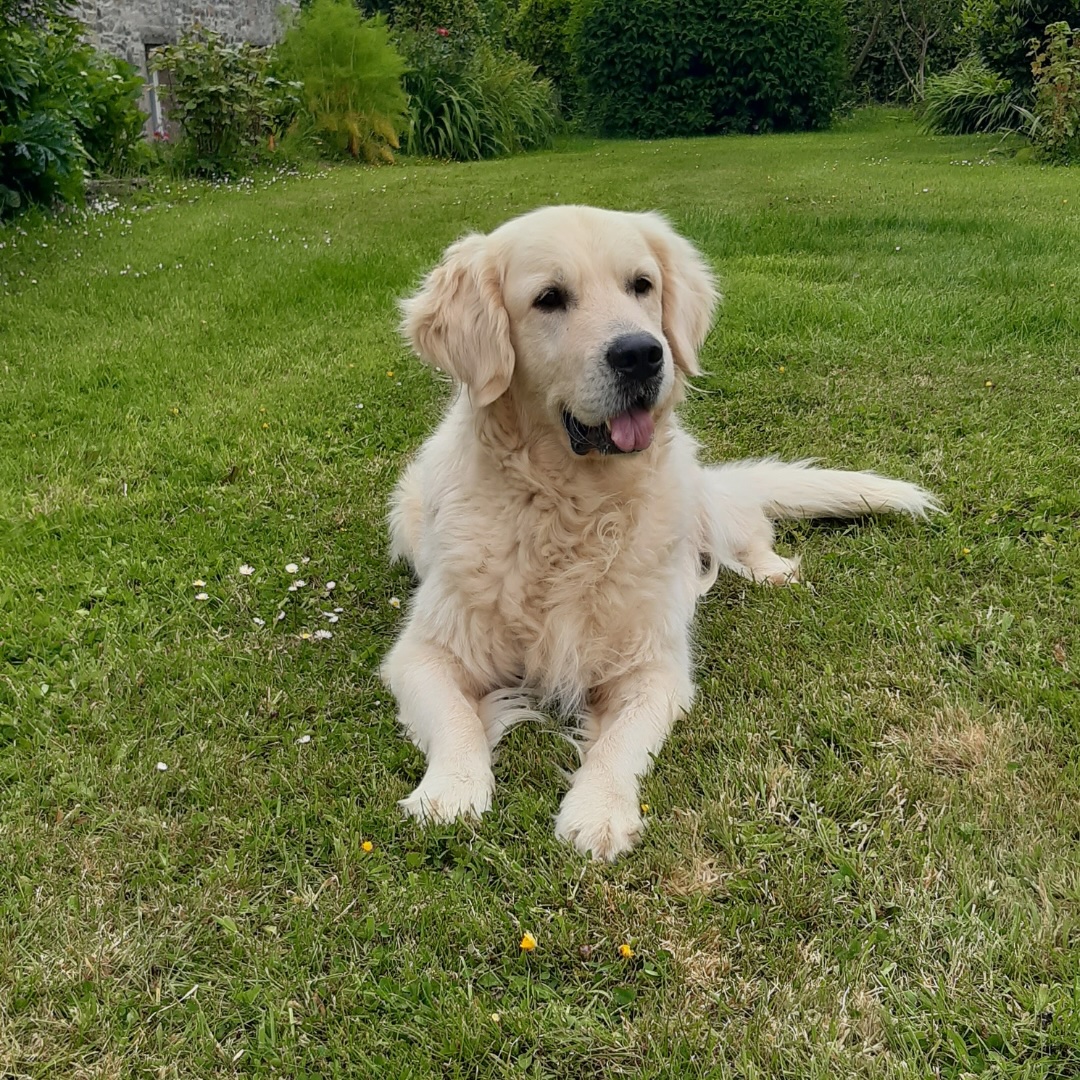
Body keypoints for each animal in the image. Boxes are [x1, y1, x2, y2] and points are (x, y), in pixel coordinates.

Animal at [382, 203, 937, 859]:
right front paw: (451, 791)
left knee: (741, 531)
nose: (641, 354)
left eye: (641, 286)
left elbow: (621, 744)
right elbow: (458, 721)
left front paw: (598, 810)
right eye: (549, 298)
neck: (571, 507)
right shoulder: (424, 651)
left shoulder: (654, 667)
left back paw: (771, 570)